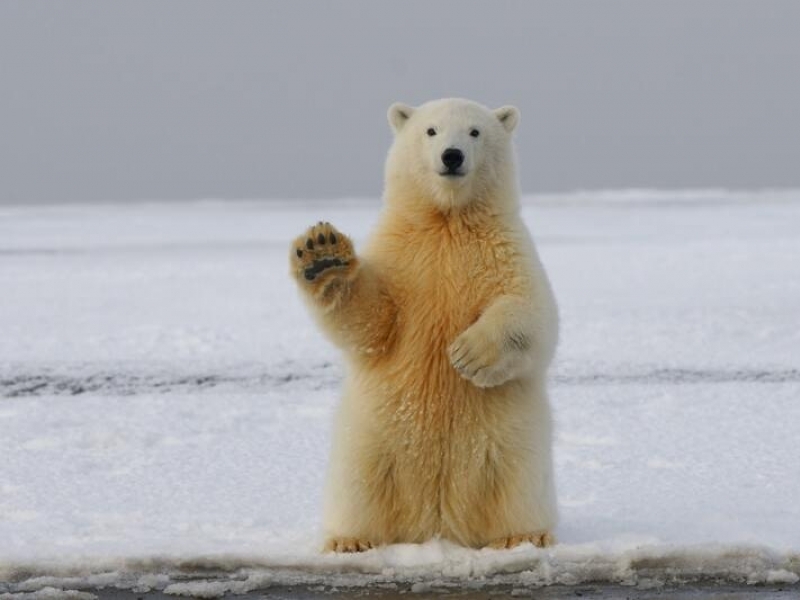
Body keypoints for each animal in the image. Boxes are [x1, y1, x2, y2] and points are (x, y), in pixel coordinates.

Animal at [289, 98, 559, 552]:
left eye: (475, 132)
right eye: (431, 130)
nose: (452, 156)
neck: (447, 221)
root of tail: (437, 524)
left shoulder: (505, 250)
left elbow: (532, 312)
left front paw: (468, 354)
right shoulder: (402, 256)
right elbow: (373, 321)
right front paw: (323, 255)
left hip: (512, 444)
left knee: (517, 484)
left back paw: (523, 536)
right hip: (370, 441)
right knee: (359, 486)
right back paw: (350, 540)